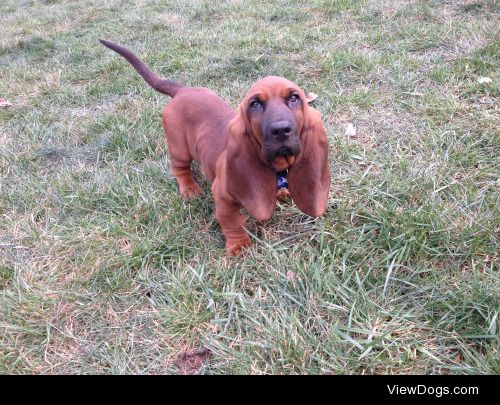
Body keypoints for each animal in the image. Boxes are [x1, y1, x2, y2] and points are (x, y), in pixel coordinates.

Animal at [99, 39, 330, 254]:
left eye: (294, 98)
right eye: (254, 104)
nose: (281, 130)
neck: (277, 167)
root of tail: (182, 91)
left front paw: (281, 192)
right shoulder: (222, 196)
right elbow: (232, 222)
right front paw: (238, 246)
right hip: (180, 148)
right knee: (179, 168)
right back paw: (189, 189)